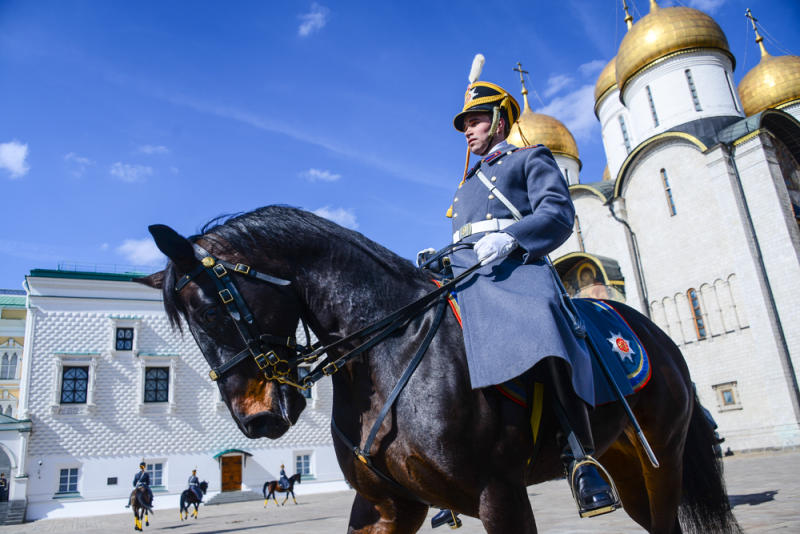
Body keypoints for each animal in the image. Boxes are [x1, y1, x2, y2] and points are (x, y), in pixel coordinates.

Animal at [139, 206, 744, 534]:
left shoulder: (500, 496)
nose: (256, 419)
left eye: (211, 309)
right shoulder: (385, 505)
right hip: (628, 462)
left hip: (662, 459)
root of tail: (652, 334)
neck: (391, 349)